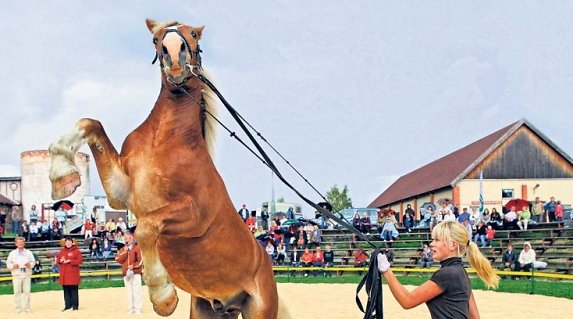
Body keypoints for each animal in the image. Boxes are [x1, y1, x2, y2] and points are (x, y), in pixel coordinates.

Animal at [49, 18, 288, 318]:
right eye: (156, 38)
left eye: (193, 34)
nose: (173, 54)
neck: (163, 141)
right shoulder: (120, 192)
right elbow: (90, 123)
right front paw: (62, 177)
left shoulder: (194, 214)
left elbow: (146, 227)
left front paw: (163, 297)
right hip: (207, 309)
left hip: (259, 309)